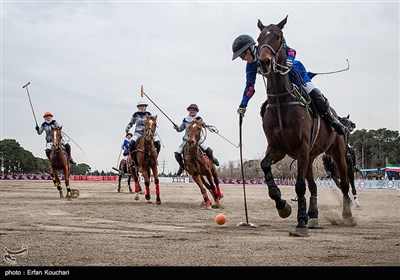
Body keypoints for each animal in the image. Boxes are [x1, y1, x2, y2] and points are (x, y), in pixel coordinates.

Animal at [256, 15, 350, 234]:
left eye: (277, 36)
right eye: (258, 38)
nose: (264, 61)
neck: (281, 102)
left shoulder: (302, 147)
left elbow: (299, 185)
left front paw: (300, 221)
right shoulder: (278, 148)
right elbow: (265, 165)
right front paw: (282, 205)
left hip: (336, 153)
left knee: (344, 184)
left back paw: (347, 214)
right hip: (310, 157)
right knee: (314, 186)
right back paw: (313, 216)